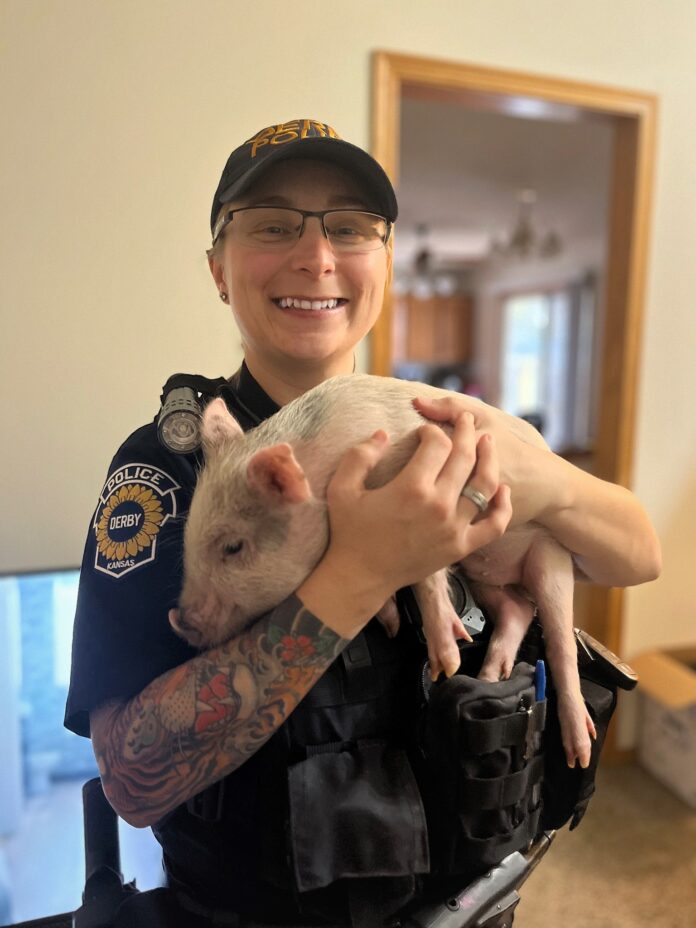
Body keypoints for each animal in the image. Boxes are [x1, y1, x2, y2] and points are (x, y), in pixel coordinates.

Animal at [170, 373, 595, 768]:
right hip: (484, 571)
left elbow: (426, 576)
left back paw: (578, 750)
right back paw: (490, 676)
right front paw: (394, 626)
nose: (179, 619)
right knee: (516, 610)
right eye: (188, 541)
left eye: (233, 547)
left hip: (551, 557)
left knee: (562, 647)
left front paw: (446, 663)